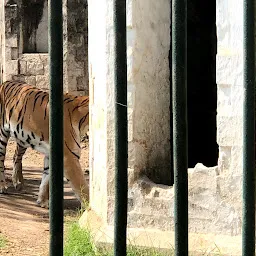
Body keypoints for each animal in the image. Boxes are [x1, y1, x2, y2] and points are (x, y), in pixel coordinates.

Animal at [0, 80, 89, 208]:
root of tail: (5, 82)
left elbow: (46, 177)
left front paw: (42, 201)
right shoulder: (69, 158)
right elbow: (82, 187)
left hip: (22, 138)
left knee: (16, 156)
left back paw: (18, 182)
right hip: (3, 135)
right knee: (1, 160)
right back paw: (3, 186)